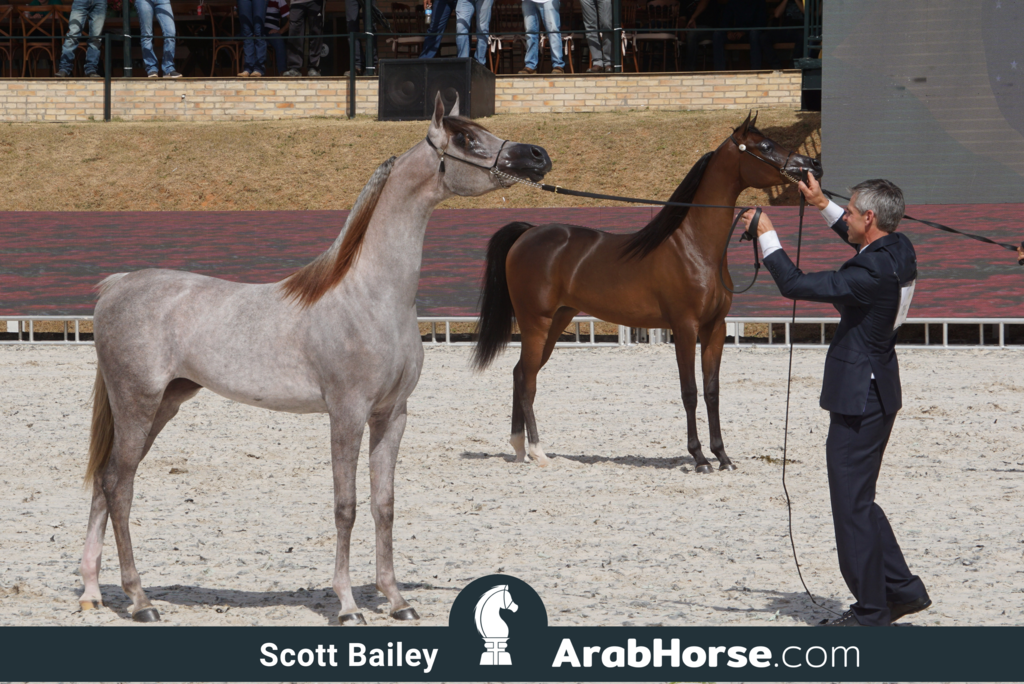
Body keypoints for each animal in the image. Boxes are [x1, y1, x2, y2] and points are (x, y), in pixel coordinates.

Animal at [78, 93, 552, 625]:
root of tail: (117, 284)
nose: (537, 156)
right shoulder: (346, 413)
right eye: (467, 138)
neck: (371, 295)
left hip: (163, 404)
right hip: (137, 403)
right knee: (120, 486)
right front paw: (347, 605)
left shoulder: (392, 415)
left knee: (103, 481)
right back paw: (139, 601)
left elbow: (383, 504)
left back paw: (92, 593)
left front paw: (396, 600)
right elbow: (345, 505)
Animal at [472, 113, 822, 473]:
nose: (811, 164)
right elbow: (689, 391)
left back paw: (518, 447)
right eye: (765, 146)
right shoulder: (685, 327)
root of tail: (527, 233)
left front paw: (722, 456)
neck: (694, 246)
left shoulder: (715, 328)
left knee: (519, 373)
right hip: (536, 323)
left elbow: (711, 391)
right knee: (528, 379)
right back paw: (538, 451)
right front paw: (699, 458)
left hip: (557, 321)